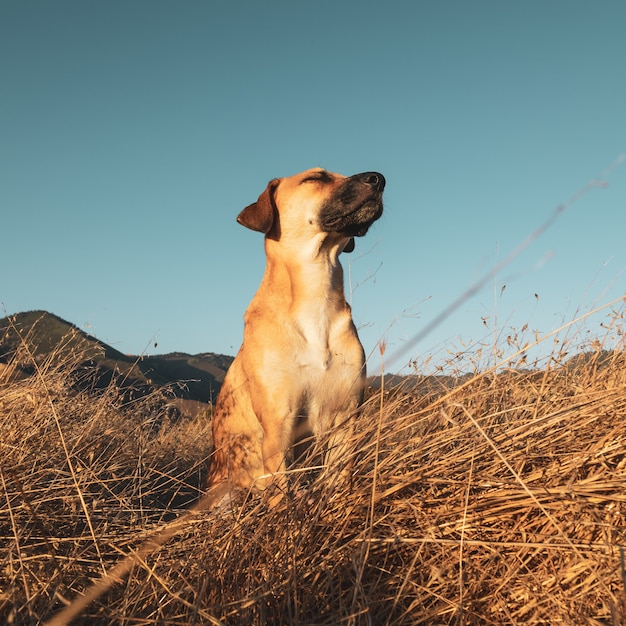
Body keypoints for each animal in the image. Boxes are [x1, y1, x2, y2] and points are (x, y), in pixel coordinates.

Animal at [44, 167, 382, 624]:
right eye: (317, 177)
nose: (379, 178)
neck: (316, 296)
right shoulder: (279, 428)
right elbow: (283, 502)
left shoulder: (345, 422)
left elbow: (339, 484)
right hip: (228, 494)